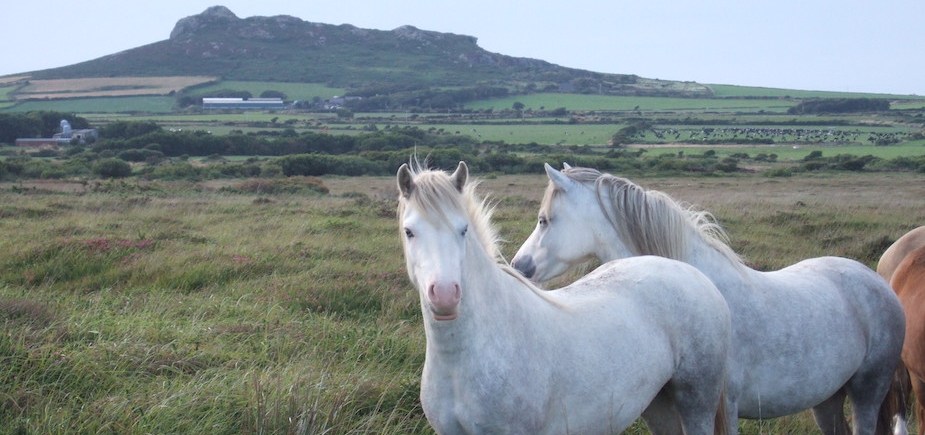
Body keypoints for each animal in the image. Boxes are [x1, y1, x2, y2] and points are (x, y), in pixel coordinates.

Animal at [398, 161, 732, 434]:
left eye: (464, 229)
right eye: (409, 232)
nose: (444, 295)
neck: (461, 361)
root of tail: (692, 273)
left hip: (697, 402)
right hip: (659, 404)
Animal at [511, 163, 906, 435]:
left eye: (544, 220)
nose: (519, 265)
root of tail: (879, 281)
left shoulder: (723, 406)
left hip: (868, 390)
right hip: (828, 400)